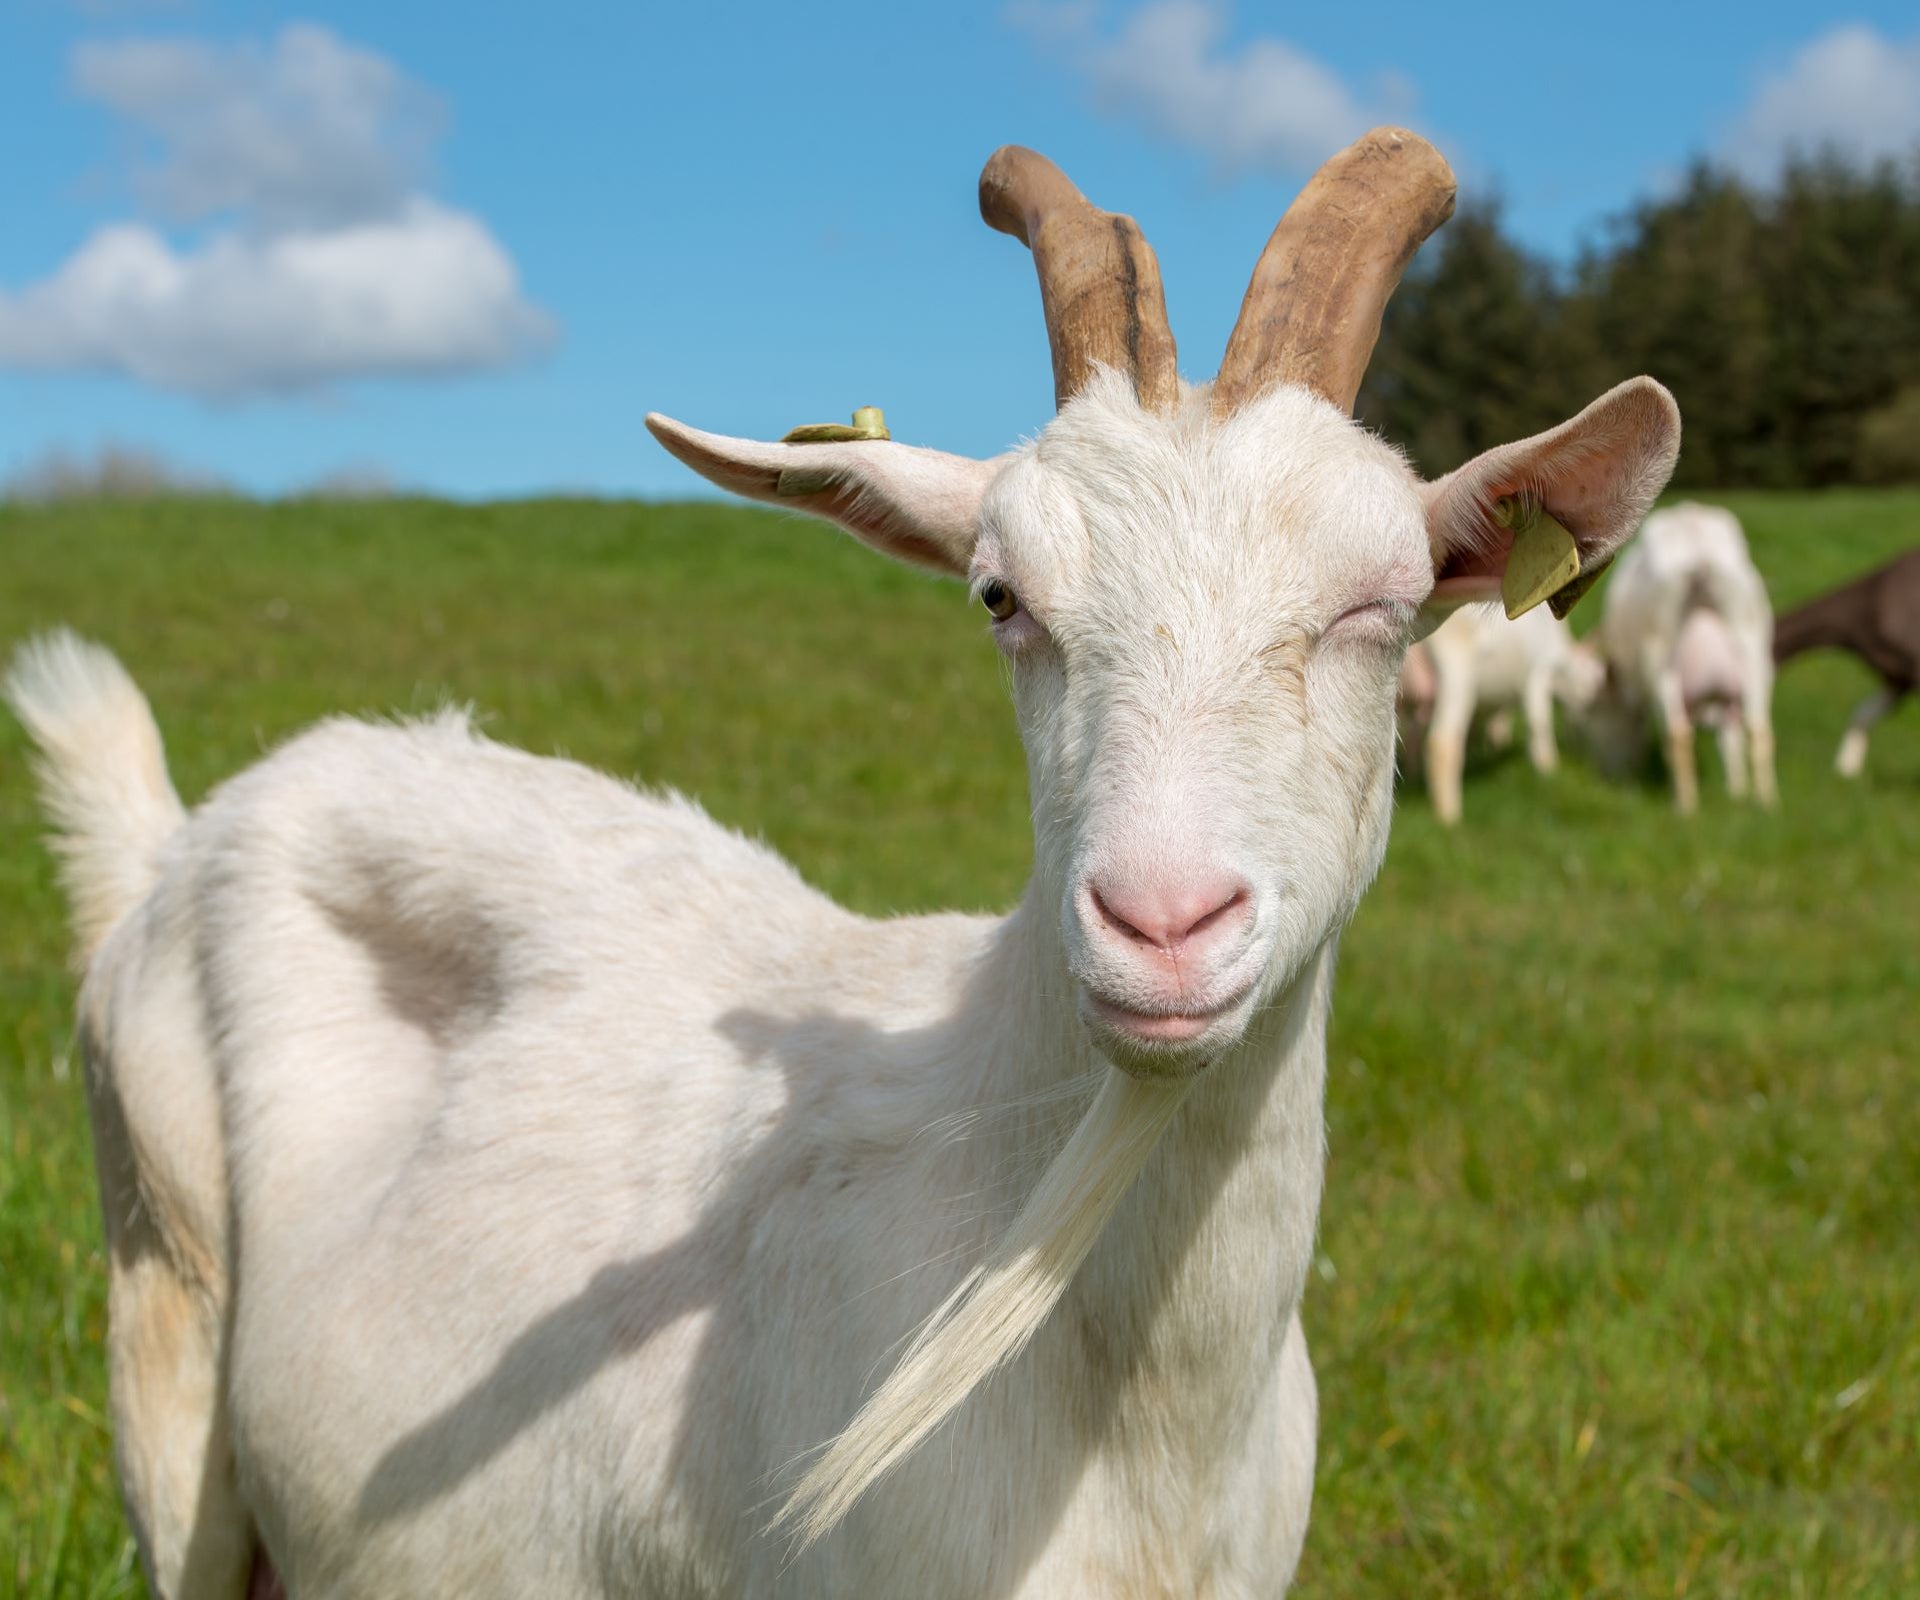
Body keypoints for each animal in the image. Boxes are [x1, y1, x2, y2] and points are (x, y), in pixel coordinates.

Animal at [1398, 603, 1603, 824]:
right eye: (1595, 682)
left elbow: (1497, 720)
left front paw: (1497, 745)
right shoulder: (1538, 672)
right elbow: (1539, 721)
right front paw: (1548, 769)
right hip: (1456, 673)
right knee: (1442, 742)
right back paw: (1450, 816)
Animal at [1589, 501, 1776, 813]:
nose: (1608, 774)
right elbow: (1731, 741)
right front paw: (1737, 793)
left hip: (1661, 666)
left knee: (1678, 736)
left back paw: (1685, 809)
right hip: (1754, 658)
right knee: (1758, 731)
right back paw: (1765, 804)